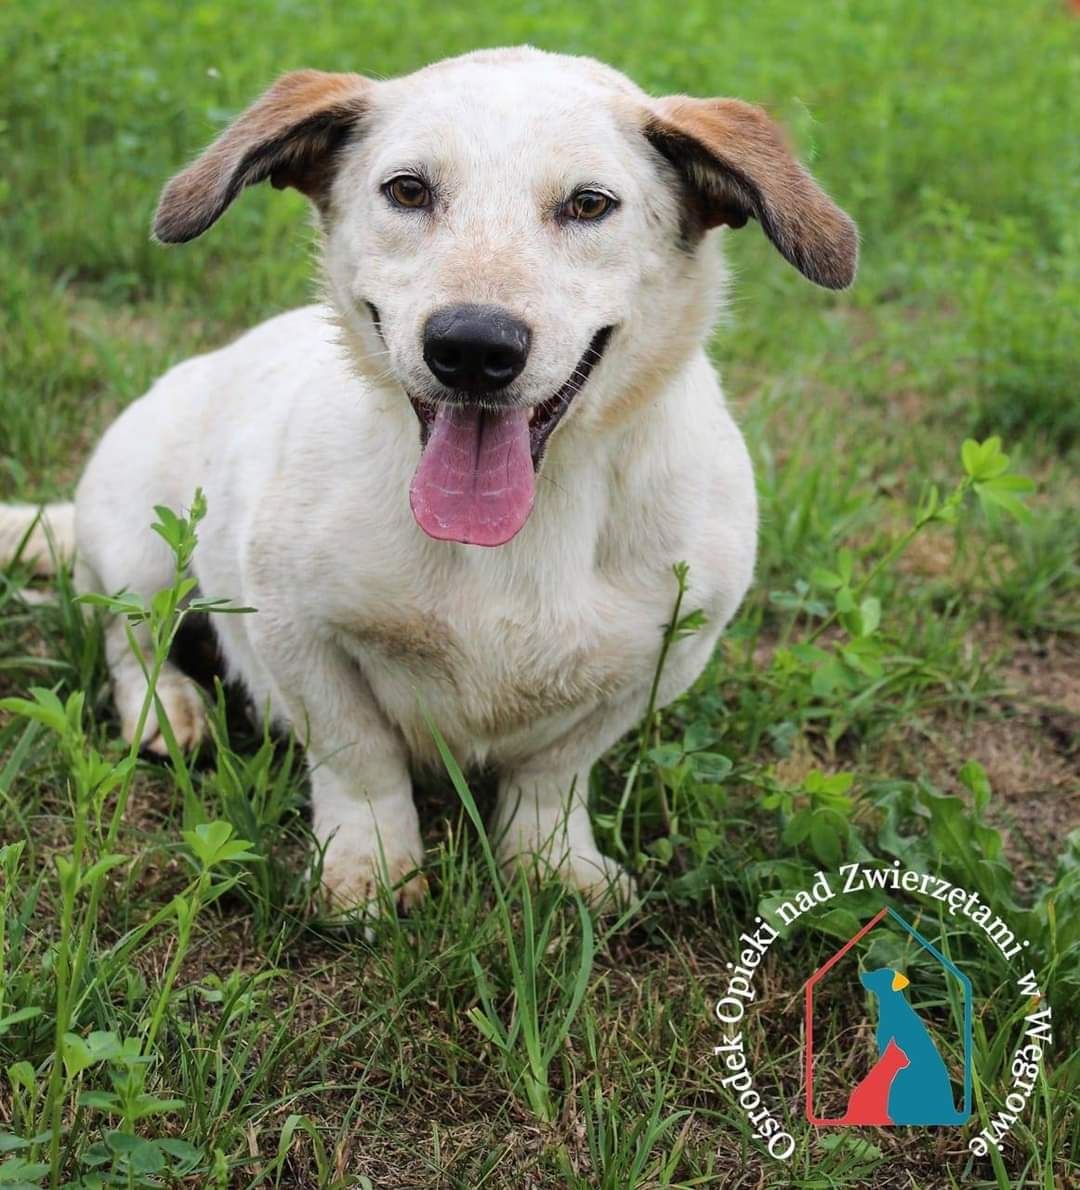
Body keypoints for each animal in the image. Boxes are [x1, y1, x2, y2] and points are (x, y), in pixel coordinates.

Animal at [4, 41, 856, 904]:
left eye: (590, 204)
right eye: (408, 190)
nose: (473, 347)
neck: (518, 536)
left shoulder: (663, 653)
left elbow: (553, 775)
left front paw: (553, 864)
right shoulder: (294, 627)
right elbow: (360, 758)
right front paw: (372, 867)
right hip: (143, 551)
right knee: (129, 640)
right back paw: (164, 710)